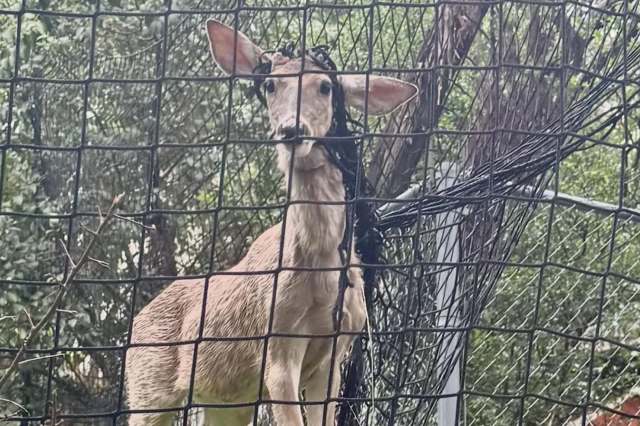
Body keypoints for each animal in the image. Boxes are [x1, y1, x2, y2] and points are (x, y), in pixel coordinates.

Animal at [124, 19, 417, 426]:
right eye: (270, 85)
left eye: (325, 87)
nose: (291, 130)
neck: (320, 273)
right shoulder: (277, 347)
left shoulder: (335, 352)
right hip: (148, 385)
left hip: (227, 403)